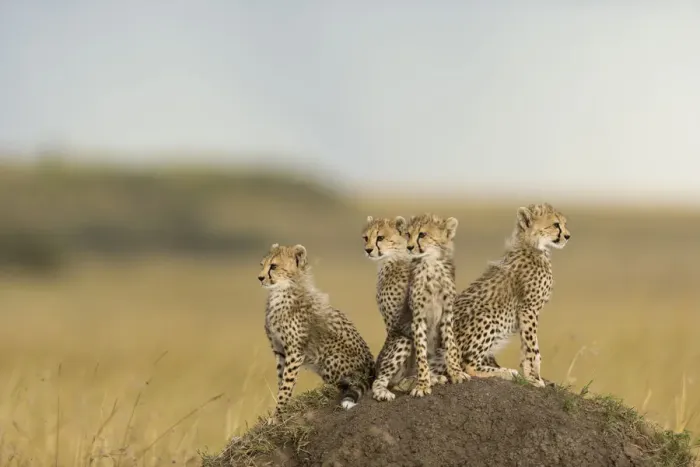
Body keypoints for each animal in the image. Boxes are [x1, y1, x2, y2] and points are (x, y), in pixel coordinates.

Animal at [258, 243, 375, 422]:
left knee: (343, 384)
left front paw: (277, 415)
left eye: (273, 266)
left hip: (330, 360)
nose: (260, 277)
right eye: (262, 265)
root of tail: (371, 368)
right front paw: (281, 411)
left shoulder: (295, 352)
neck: (281, 290)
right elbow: (281, 380)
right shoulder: (279, 349)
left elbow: (286, 384)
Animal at [405, 213, 470, 398]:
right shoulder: (418, 318)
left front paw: (456, 372)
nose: (409, 247)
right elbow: (421, 354)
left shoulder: (447, 314)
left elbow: (451, 345)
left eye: (422, 234)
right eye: (407, 234)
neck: (431, 264)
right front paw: (422, 384)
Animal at [451, 203, 571, 387]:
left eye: (563, 224)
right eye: (556, 224)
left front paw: (531, 375)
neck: (533, 245)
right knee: (467, 366)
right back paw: (505, 372)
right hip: (487, 317)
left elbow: (526, 346)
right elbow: (532, 347)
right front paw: (534, 378)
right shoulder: (529, 309)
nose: (567, 236)